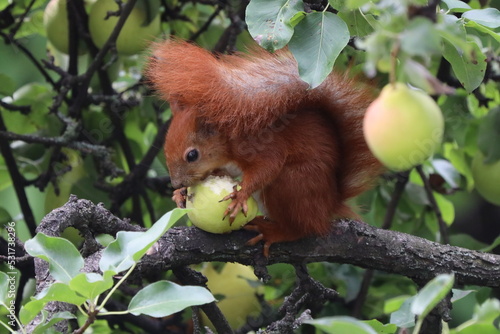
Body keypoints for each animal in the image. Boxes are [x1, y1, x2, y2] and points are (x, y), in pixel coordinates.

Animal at [146, 39, 380, 256]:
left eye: (192, 155)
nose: (176, 182)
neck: (228, 137)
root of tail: (331, 202)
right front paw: (180, 194)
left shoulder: (261, 145)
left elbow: (268, 166)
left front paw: (240, 196)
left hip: (292, 184)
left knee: (305, 228)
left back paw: (274, 232)